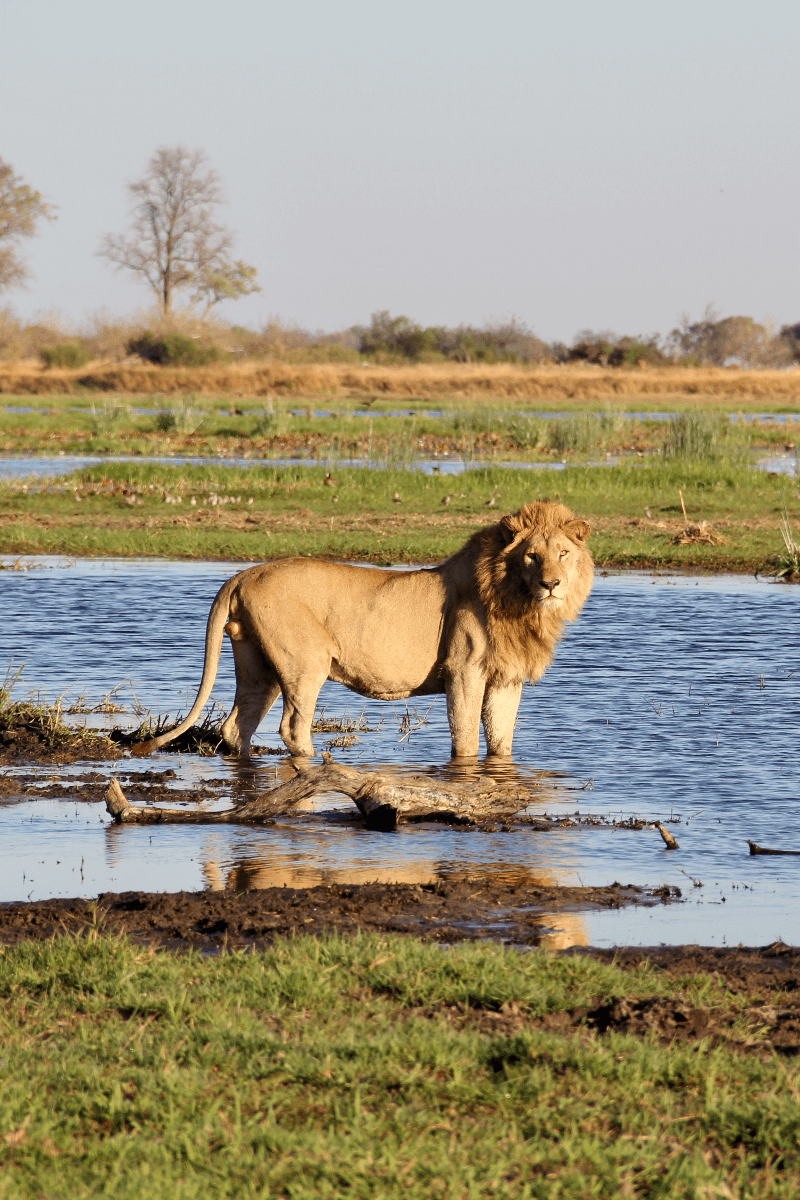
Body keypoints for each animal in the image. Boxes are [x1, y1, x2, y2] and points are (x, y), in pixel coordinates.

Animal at [134, 500, 593, 760]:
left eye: (563, 553)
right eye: (532, 556)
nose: (551, 584)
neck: (520, 604)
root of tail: (246, 572)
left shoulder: (506, 677)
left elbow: (502, 740)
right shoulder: (464, 670)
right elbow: (465, 737)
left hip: (256, 665)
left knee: (237, 725)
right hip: (305, 663)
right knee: (292, 727)